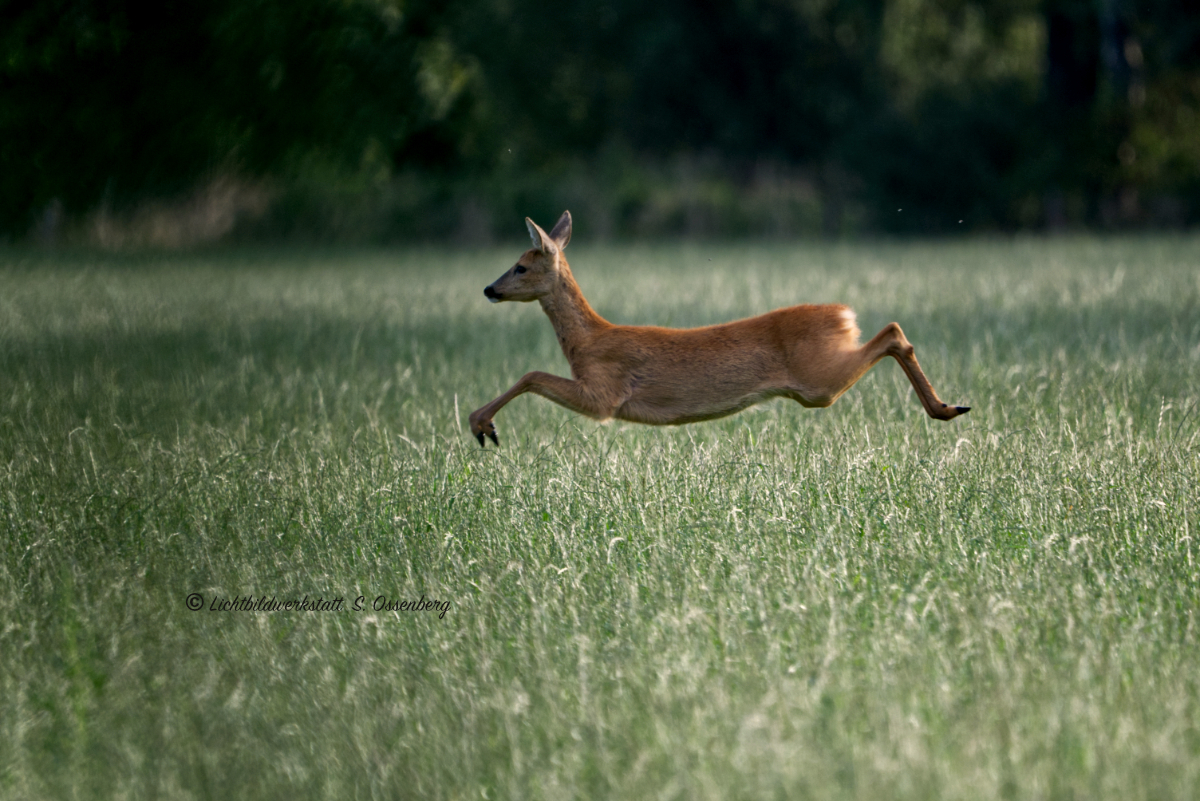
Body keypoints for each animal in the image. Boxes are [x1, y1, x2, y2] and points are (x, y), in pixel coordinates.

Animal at [463, 212, 969, 448]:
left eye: (521, 265)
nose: (489, 288)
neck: (588, 340)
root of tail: (844, 314)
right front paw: (482, 425)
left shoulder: (603, 395)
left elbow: (531, 374)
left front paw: (482, 425)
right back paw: (948, 407)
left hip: (818, 382)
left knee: (892, 331)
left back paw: (947, 407)